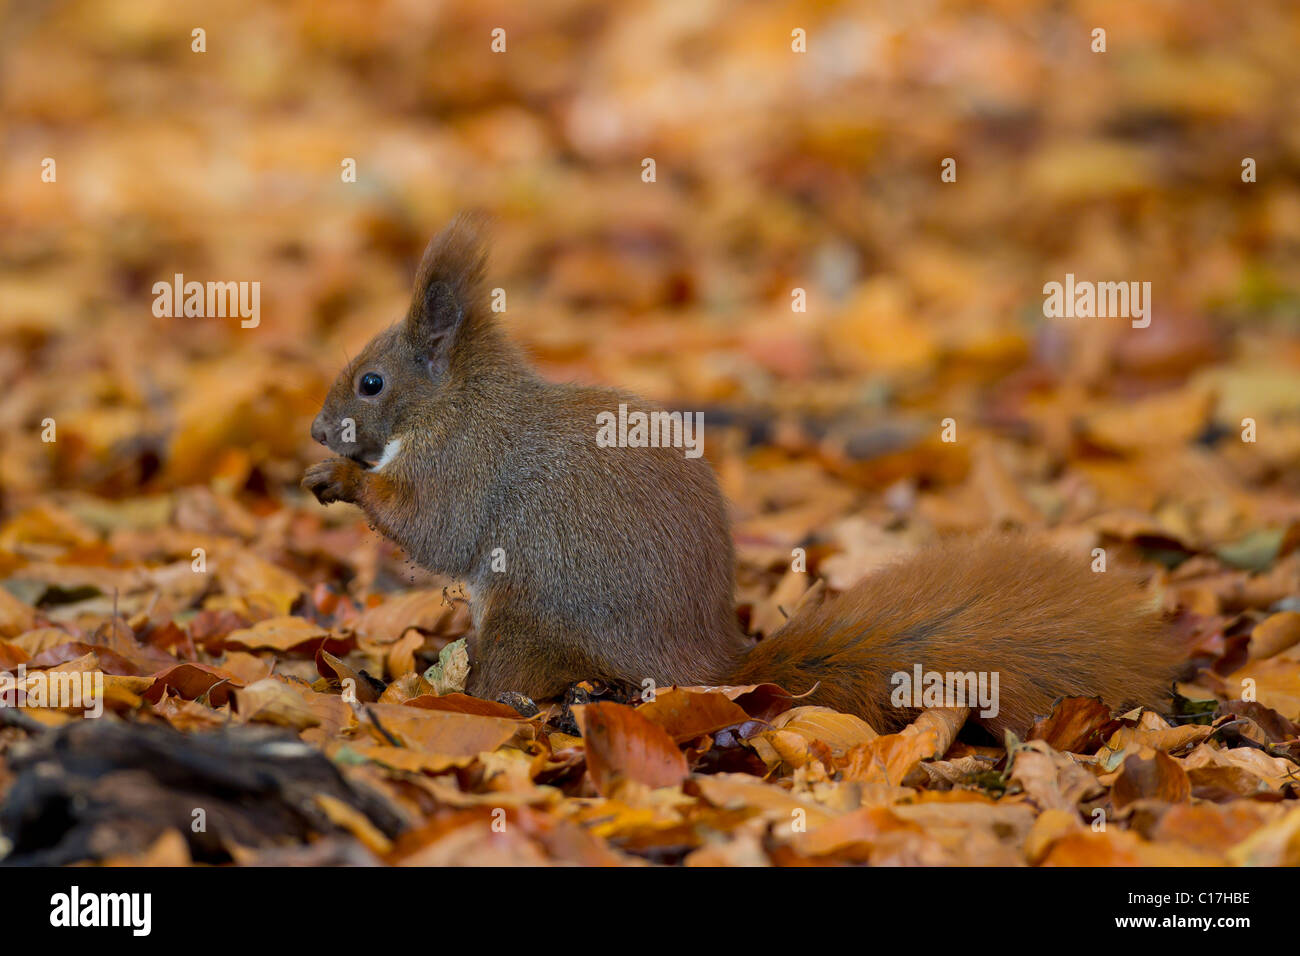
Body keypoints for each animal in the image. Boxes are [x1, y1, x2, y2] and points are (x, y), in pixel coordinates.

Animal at [304, 215, 1181, 735]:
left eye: (371, 383)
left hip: (532, 612)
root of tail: (710, 668)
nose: (315, 429)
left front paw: (342, 482)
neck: (453, 403)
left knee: (515, 682)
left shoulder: (466, 463)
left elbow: (436, 531)